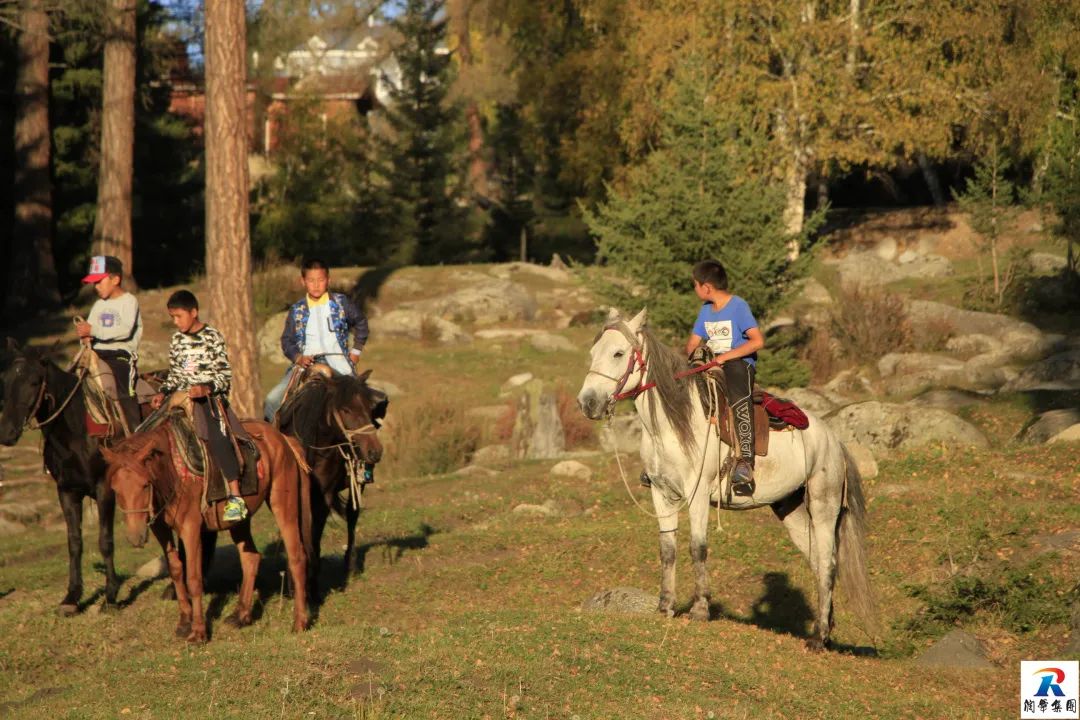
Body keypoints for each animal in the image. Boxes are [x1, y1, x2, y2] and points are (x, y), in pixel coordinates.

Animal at [102, 416, 313, 643]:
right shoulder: (160, 529)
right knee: (250, 558)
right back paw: (241, 616)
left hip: (282, 504)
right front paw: (184, 622)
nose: (136, 537)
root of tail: (284, 440)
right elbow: (176, 570)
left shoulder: (191, 529)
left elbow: (193, 578)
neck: (172, 472)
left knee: (297, 556)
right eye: (115, 489)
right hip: (238, 521)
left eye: (144, 484)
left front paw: (198, 632)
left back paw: (299, 622)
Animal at [276, 369, 386, 600]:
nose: (375, 451)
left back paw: (350, 564)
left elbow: (315, 535)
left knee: (352, 516)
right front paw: (293, 584)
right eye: (345, 409)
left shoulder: (325, 495)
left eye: (368, 407)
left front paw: (313, 586)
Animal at [578, 306, 872, 651]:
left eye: (618, 353)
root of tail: (834, 440)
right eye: (592, 353)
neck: (673, 425)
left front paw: (700, 609)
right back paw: (824, 629)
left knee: (827, 562)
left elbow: (697, 547)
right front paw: (665, 606)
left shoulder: (697, 497)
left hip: (824, 506)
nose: (588, 403)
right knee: (816, 561)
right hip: (792, 509)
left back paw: (818, 638)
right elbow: (667, 549)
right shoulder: (661, 494)